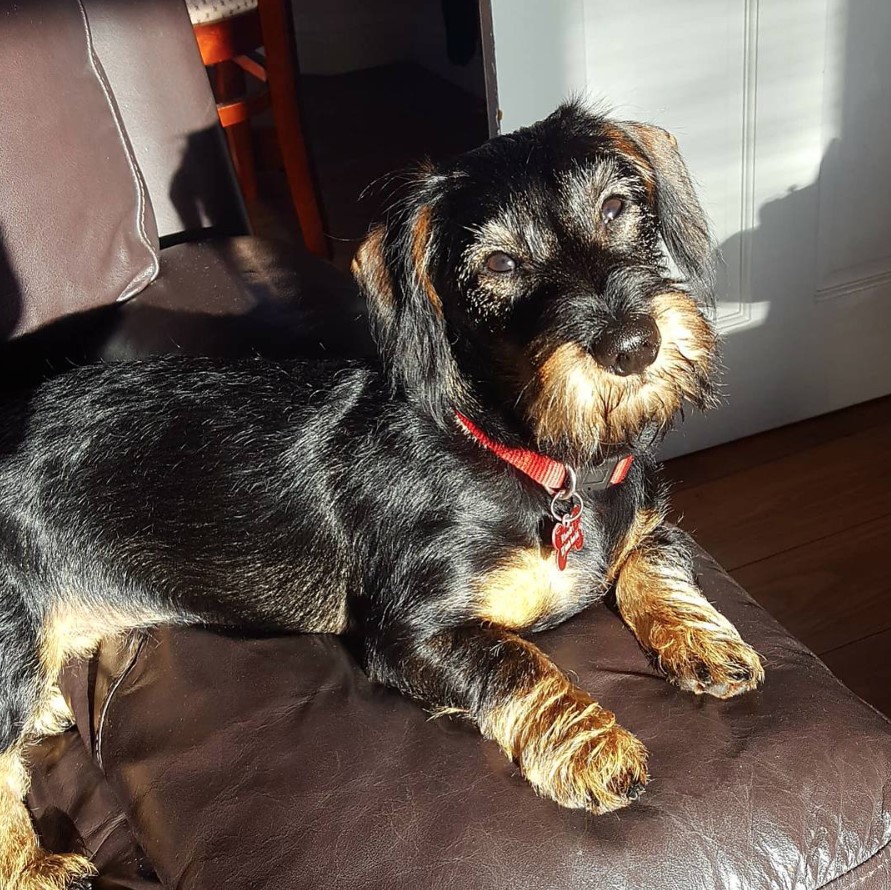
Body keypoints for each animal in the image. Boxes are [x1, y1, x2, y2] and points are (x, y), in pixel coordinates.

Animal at [3, 102, 764, 880]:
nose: (632, 345)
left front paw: (703, 640)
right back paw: (39, 865)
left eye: (615, 207)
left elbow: (652, 564)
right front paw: (596, 747)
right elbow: (513, 660)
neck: (547, 462)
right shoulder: (411, 632)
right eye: (498, 263)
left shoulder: (650, 524)